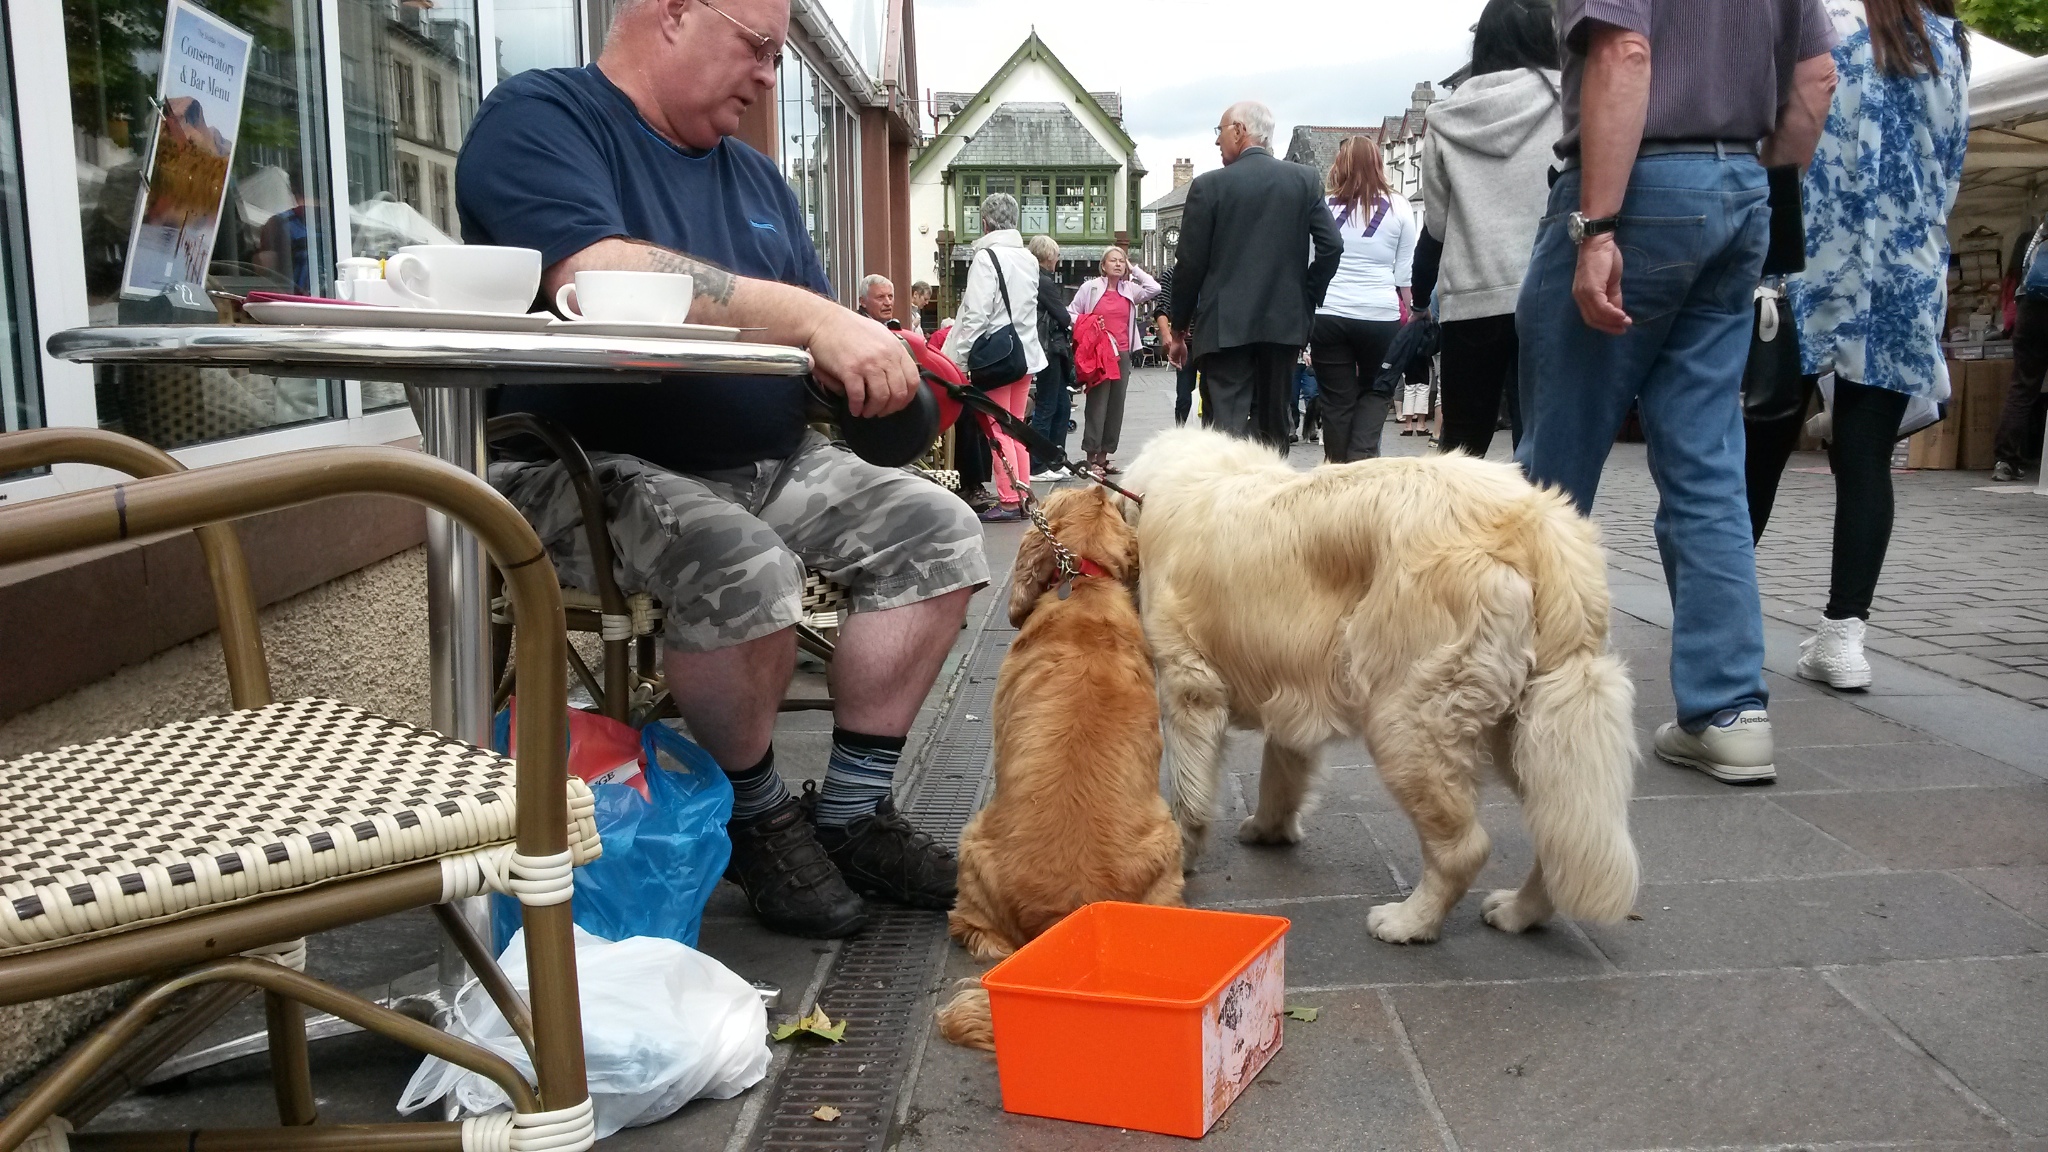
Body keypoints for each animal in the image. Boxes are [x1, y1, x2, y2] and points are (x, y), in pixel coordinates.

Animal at [1114, 426, 1638, 938]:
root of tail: (1536, 522)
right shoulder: (1291, 686)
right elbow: (1281, 770)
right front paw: (1270, 829)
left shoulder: (1188, 687)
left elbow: (1189, 793)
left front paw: (1180, 855)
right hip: (1528, 729)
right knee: (1561, 833)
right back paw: (1518, 913)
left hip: (1408, 720)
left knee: (1464, 849)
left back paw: (1409, 922)